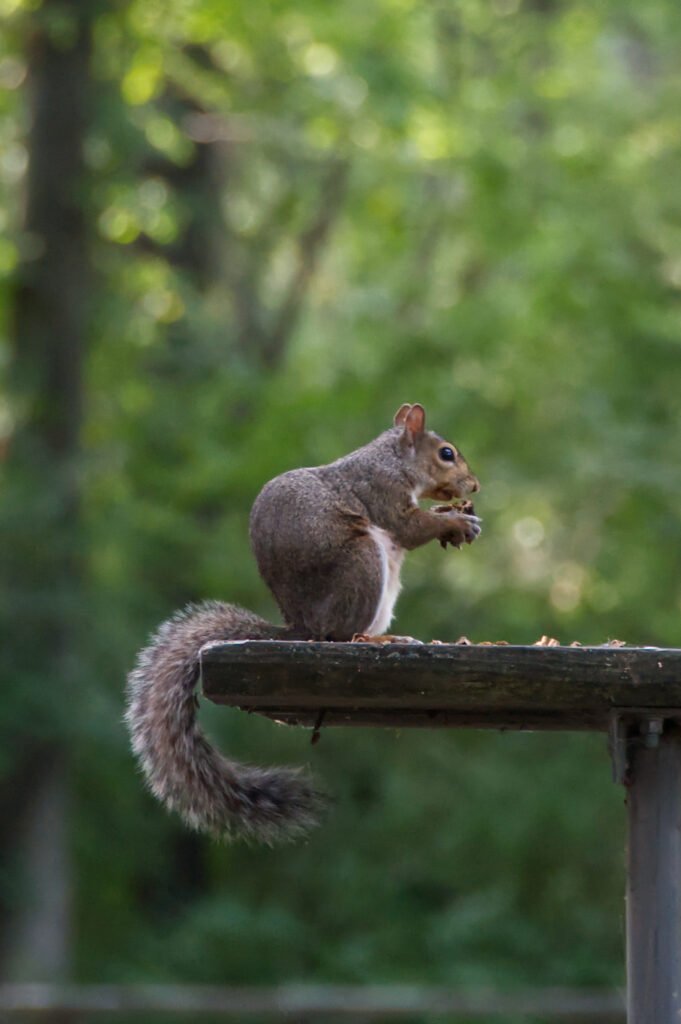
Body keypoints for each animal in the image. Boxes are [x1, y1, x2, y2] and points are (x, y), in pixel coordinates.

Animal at [125, 403, 481, 844]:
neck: (393, 459)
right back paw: (381, 641)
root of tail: (300, 627)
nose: (474, 486)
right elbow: (409, 527)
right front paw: (455, 522)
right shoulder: (382, 493)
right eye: (447, 454)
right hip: (363, 563)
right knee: (342, 636)